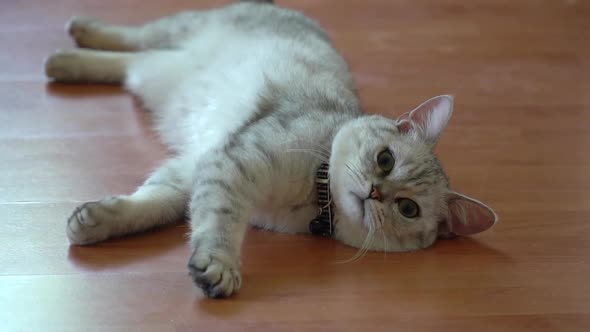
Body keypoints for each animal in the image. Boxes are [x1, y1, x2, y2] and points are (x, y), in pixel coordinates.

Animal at [46, 0, 500, 298]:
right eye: (385, 159)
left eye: (408, 209)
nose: (375, 192)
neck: (314, 195)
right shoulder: (235, 163)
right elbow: (219, 223)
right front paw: (220, 266)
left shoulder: (198, 168)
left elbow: (153, 203)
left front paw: (96, 221)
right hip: (177, 27)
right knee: (129, 36)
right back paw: (76, 36)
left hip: (155, 68)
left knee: (128, 64)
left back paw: (65, 62)